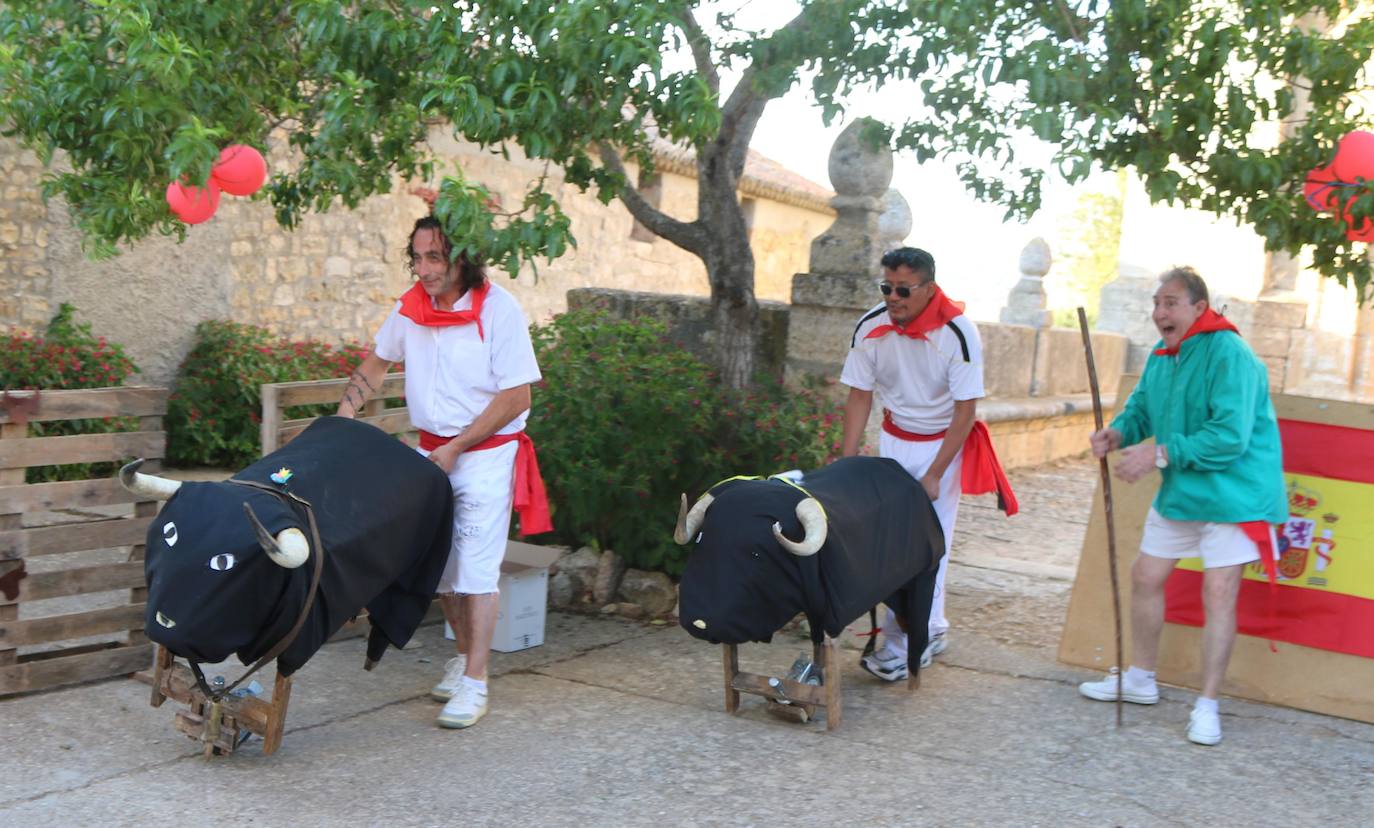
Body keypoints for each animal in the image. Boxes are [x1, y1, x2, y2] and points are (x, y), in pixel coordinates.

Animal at [673, 453, 945, 730]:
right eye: (701, 540)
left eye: (757, 554)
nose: (700, 622)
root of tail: (900, 471)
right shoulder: (816, 609)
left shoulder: (832, 617)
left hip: (923, 578)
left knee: (915, 627)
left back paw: (914, 674)